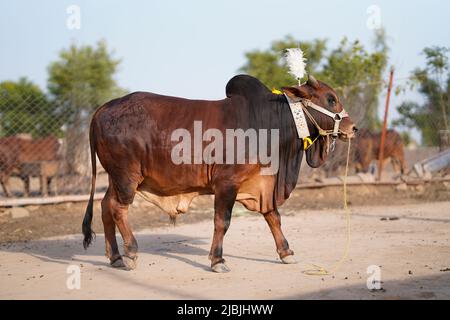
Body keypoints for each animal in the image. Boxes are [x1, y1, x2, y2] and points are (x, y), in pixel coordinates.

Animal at [81, 75, 356, 272]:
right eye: (330, 99)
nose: (353, 128)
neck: (268, 124)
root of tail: (102, 109)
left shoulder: (263, 185)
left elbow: (273, 217)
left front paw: (286, 253)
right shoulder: (227, 183)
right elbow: (222, 222)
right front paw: (218, 261)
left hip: (115, 178)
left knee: (105, 207)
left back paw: (115, 257)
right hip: (126, 177)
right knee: (118, 209)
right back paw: (131, 253)